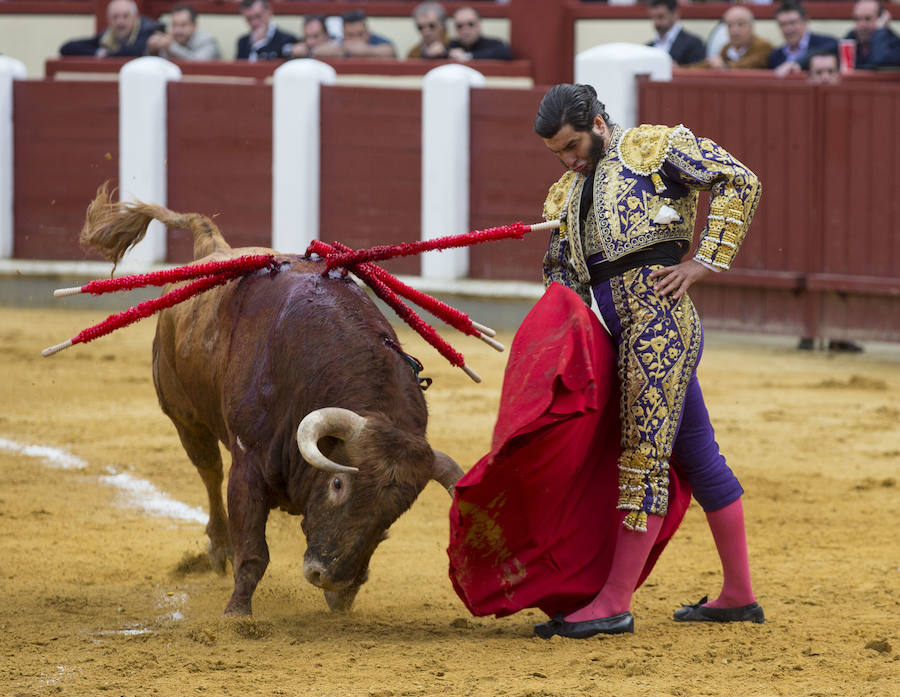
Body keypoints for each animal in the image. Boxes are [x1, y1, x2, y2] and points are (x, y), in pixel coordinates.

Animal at [79, 185, 464, 616]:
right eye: (337, 483)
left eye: (395, 512)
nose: (327, 576)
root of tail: (216, 249)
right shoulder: (248, 462)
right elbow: (252, 550)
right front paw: (237, 614)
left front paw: (341, 599)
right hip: (184, 417)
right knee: (210, 471)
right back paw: (219, 549)